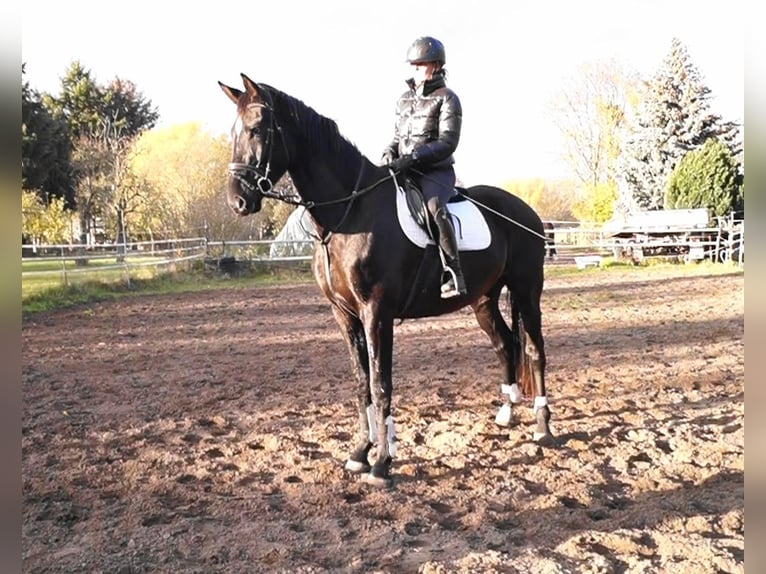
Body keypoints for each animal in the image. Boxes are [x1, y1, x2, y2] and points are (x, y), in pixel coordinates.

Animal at [219, 73, 556, 490]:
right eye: (232, 132)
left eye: (256, 129)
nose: (237, 201)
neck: (349, 214)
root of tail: (526, 211)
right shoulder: (345, 315)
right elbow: (361, 381)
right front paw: (359, 453)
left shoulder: (376, 312)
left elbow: (381, 383)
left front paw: (381, 462)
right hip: (483, 300)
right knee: (506, 344)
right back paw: (507, 414)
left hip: (527, 290)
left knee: (535, 351)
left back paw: (543, 428)